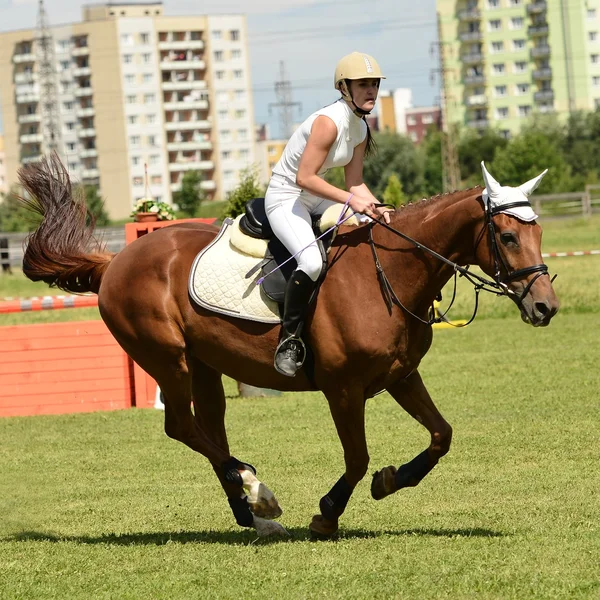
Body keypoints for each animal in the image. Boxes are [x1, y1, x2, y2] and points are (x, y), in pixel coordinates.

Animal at [21, 156, 560, 540]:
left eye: (538, 231)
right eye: (508, 236)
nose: (546, 307)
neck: (391, 273)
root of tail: (114, 263)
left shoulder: (402, 377)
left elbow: (441, 435)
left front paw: (390, 481)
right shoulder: (343, 389)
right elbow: (357, 457)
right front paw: (327, 515)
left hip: (203, 364)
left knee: (208, 427)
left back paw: (254, 514)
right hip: (166, 360)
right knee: (182, 426)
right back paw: (256, 488)